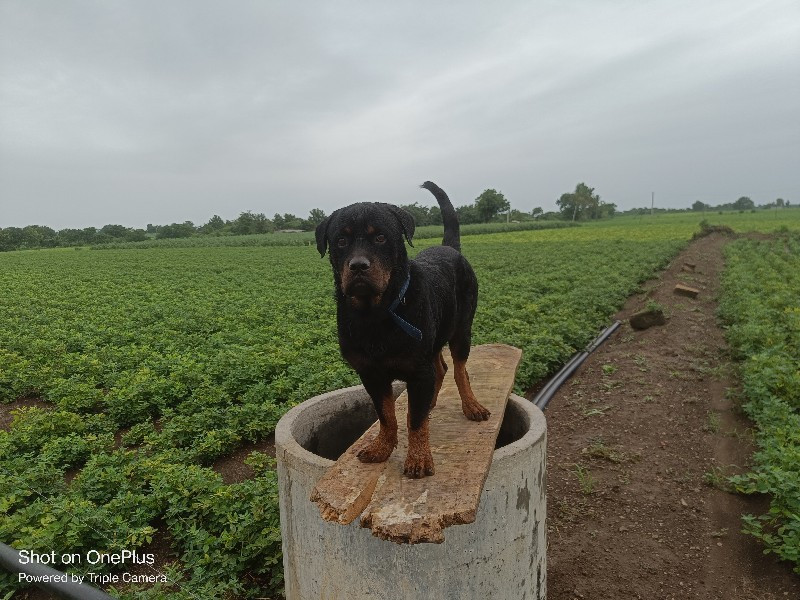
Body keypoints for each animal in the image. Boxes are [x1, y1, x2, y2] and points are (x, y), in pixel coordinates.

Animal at [316, 180, 490, 476]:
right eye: (340, 240)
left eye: (380, 238)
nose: (358, 265)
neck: (377, 314)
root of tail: (451, 249)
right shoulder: (371, 374)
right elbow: (386, 415)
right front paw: (382, 447)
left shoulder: (418, 370)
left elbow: (416, 421)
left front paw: (419, 458)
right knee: (440, 369)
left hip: (461, 330)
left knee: (459, 370)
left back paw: (471, 405)